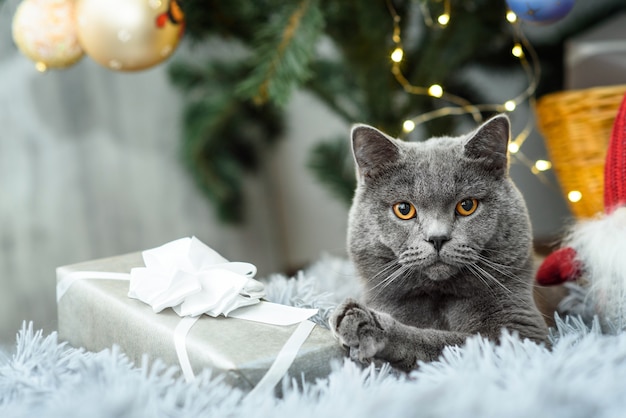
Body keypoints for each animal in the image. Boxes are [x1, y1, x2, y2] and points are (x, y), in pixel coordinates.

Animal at [332, 115, 544, 372]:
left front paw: (366, 325)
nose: (437, 238)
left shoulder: (522, 330)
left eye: (467, 205)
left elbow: (450, 344)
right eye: (404, 209)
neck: (439, 297)